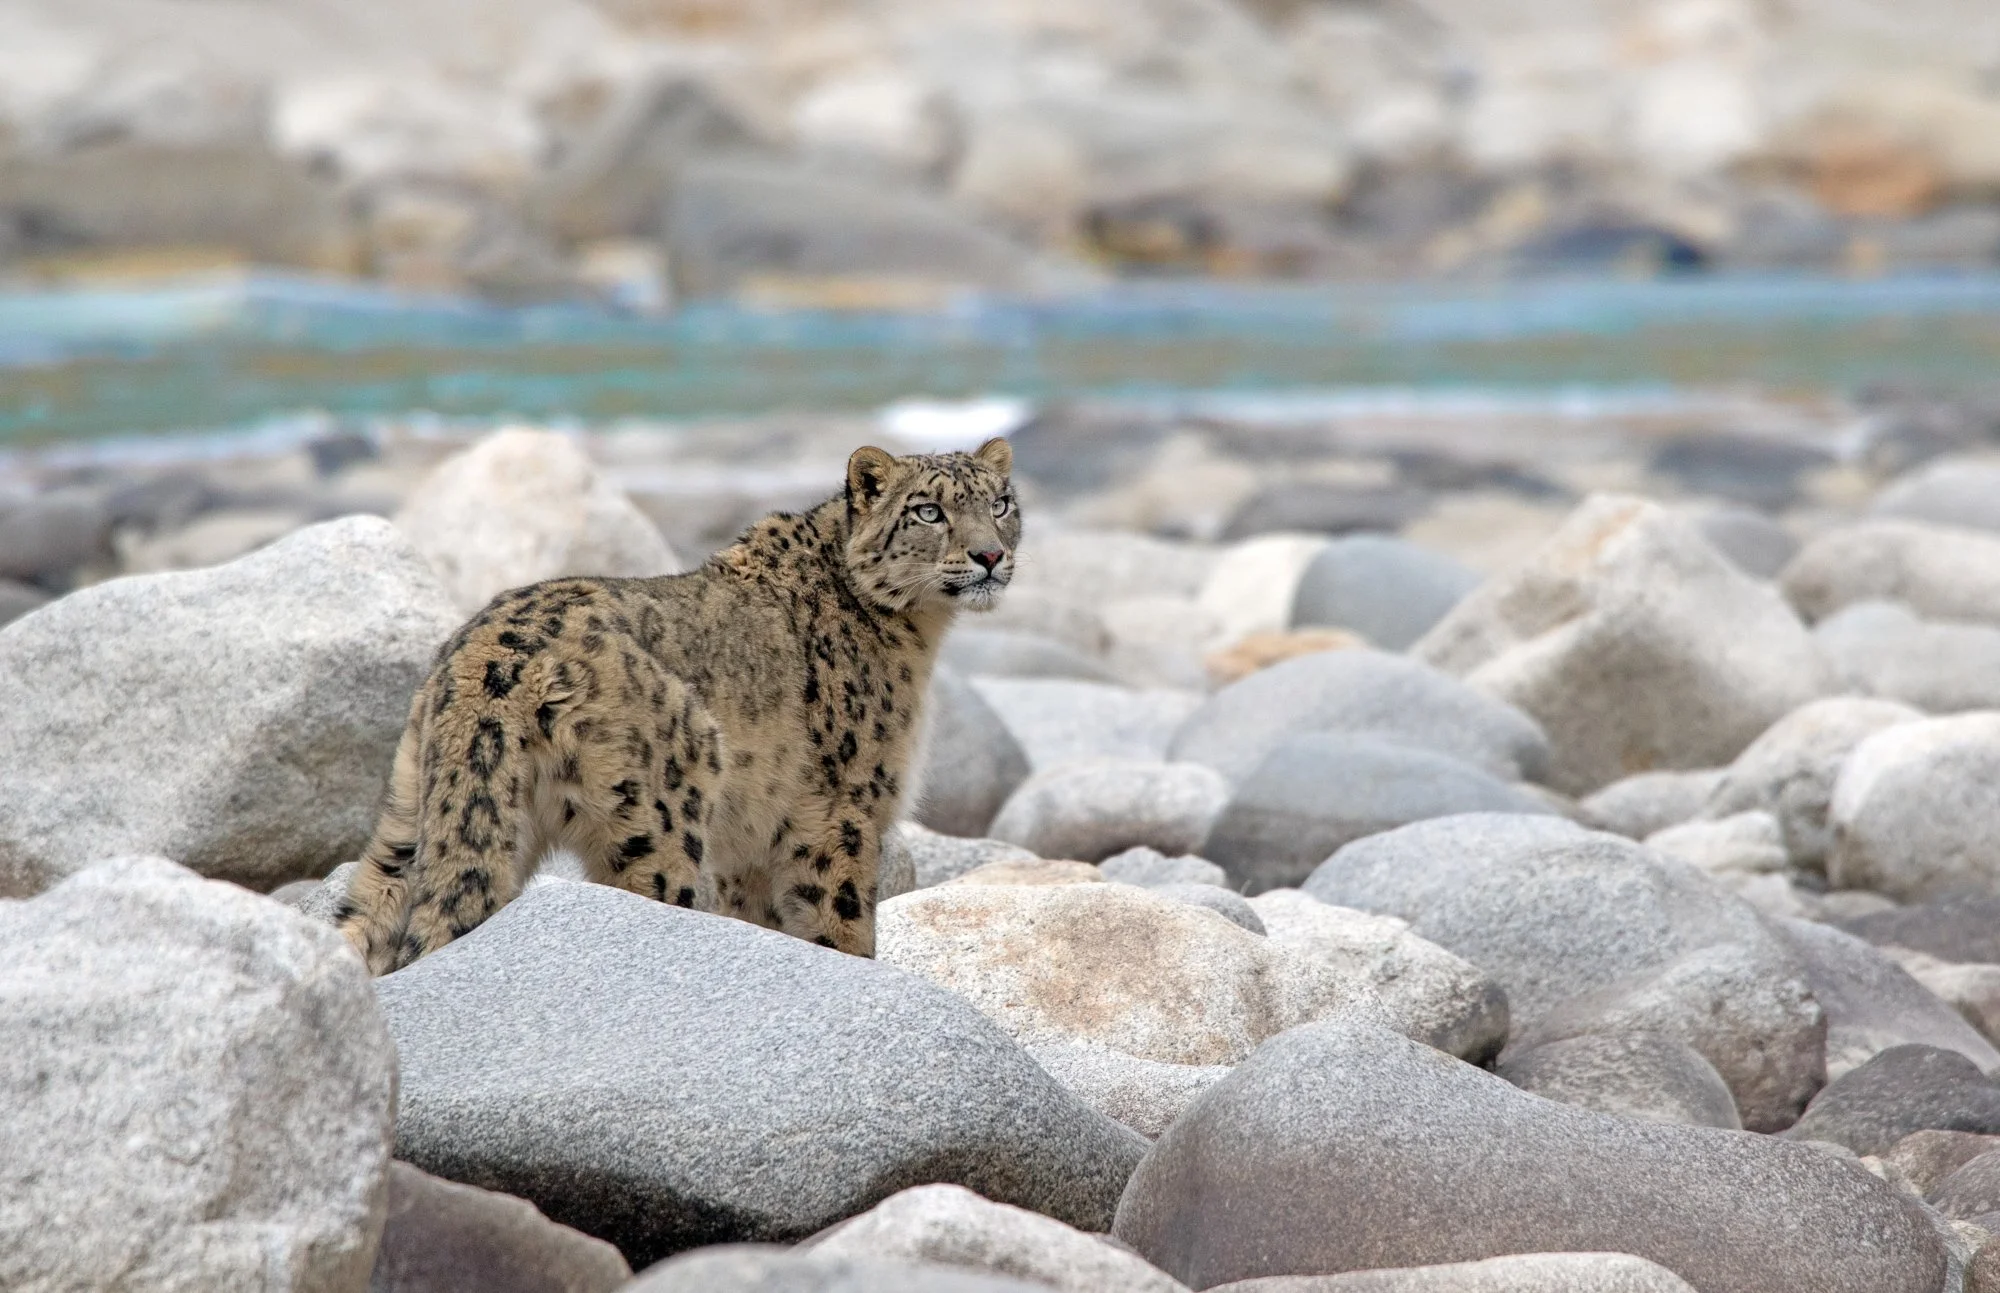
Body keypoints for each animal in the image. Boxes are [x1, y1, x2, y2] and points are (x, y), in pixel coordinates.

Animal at [336, 438, 1018, 975]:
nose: (990, 555)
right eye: (928, 511)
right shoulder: (844, 811)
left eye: (1000, 503)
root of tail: (484, 658)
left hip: (409, 815)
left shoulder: (752, 848)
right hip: (659, 822)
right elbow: (840, 923)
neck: (919, 637)